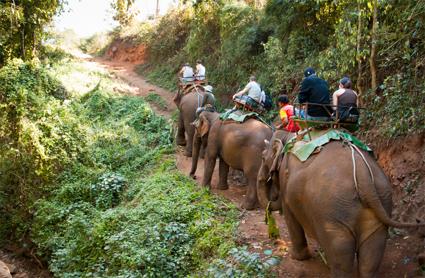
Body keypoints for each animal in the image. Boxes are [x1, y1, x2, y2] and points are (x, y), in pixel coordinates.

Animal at [256, 130, 422, 278]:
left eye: (263, 157)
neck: (287, 135)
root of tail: (363, 175)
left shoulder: (286, 190)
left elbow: (291, 218)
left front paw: (297, 257)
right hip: (381, 200)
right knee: (372, 255)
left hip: (332, 212)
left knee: (341, 257)